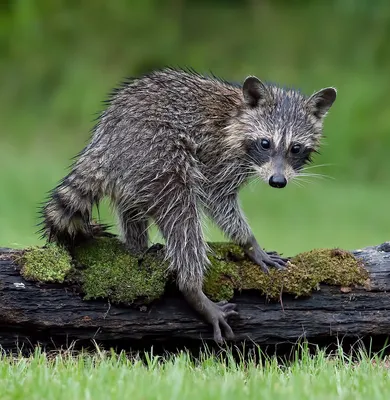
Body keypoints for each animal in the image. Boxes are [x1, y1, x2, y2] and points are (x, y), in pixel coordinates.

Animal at [42, 67, 336, 342]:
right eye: (266, 143)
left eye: (295, 148)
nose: (277, 181)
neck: (237, 116)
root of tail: (103, 145)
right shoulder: (217, 155)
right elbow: (217, 198)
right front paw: (249, 242)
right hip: (156, 154)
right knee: (181, 213)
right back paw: (193, 288)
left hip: (134, 171)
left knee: (134, 211)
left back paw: (137, 248)